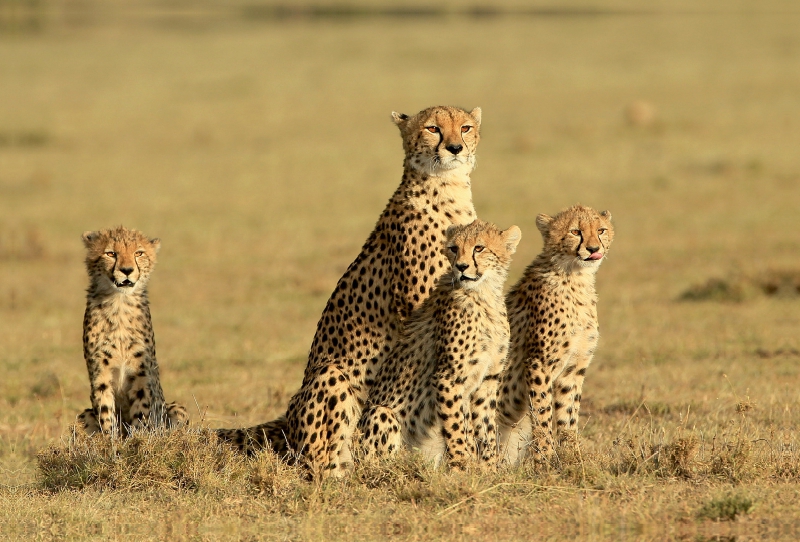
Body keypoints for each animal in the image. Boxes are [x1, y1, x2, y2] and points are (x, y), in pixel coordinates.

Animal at [75, 226, 188, 438]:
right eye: (111, 254)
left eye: (139, 253)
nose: (126, 270)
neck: (119, 303)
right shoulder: (100, 374)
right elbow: (105, 413)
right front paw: (110, 441)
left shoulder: (141, 375)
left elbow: (142, 414)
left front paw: (137, 440)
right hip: (83, 416)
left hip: (178, 410)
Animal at [216, 104, 484, 478]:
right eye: (433, 128)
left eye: (466, 127)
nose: (455, 148)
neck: (447, 187)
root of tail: (287, 421)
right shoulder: (420, 305)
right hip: (333, 376)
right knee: (320, 462)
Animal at [360, 220, 520, 468]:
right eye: (454, 248)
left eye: (479, 248)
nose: (461, 267)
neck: (482, 295)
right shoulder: (448, 377)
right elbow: (455, 427)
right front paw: (462, 466)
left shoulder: (488, 379)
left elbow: (485, 428)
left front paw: (488, 468)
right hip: (381, 412)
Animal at [496, 206, 616, 466]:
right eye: (575, 231)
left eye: (601, 230)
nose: (594, 248)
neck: (575, 277)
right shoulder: (538, 363)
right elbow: (542, 413)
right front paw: (546, 458)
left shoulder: (573, 368)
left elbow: (568, 415)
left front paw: (573, 456)